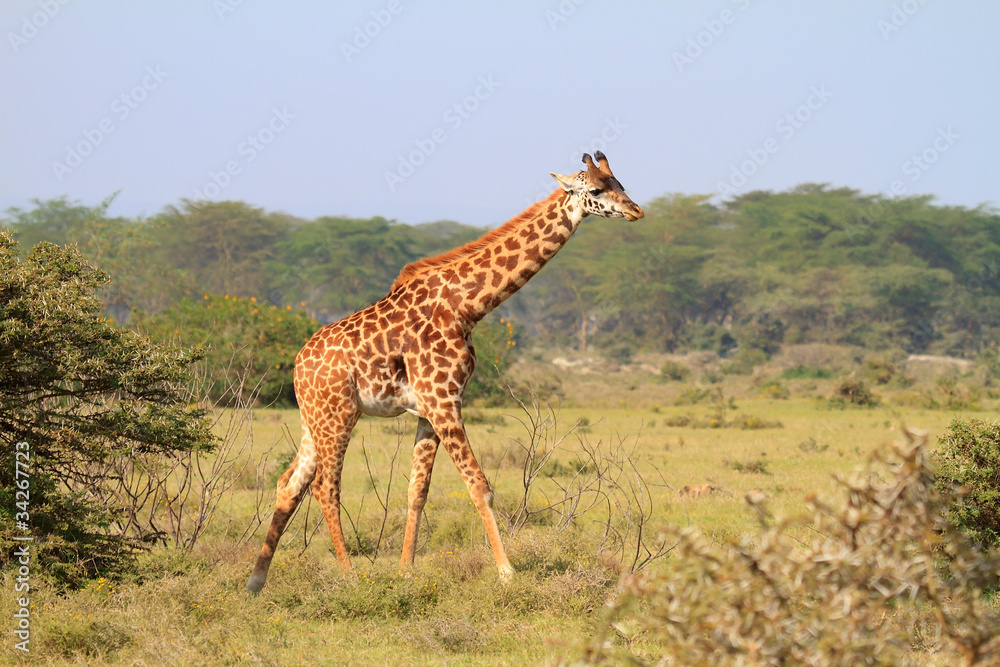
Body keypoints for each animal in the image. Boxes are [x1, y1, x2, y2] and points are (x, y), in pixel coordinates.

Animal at [246, 151, 644, 596]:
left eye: (620, 183)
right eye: (594, 189)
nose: (636, 210)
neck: (467, 306)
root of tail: (298, 364)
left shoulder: (430, 408)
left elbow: (417, 490)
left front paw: (406, 571)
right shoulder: (443, 401)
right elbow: (479, 486)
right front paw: (507, 572)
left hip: (312, 419)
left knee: (289, 485)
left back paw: (256, 580)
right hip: (339, 415)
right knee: (324, 487)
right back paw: (348, 577)